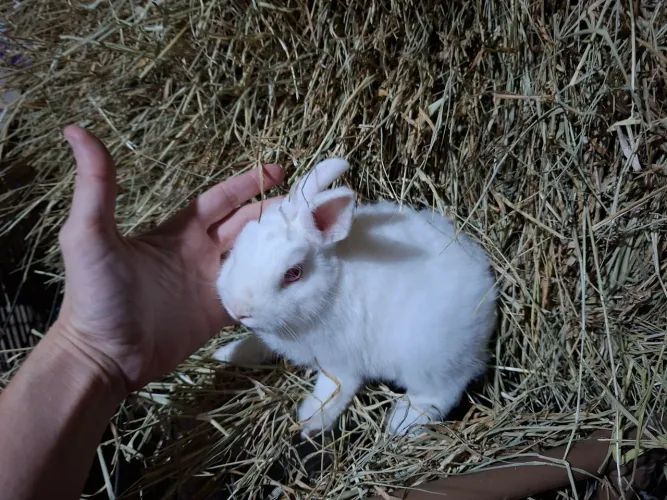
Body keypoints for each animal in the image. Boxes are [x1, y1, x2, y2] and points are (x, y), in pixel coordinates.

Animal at [213, 158, 497, 437]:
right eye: (240, 245)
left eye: (293, 273)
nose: (238, 309)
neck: (331, 287)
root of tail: (487, 294)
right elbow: (256, 344)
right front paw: (226, 353)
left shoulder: (339, 361)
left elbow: (335, 389)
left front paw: (310, 420)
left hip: (428, 359)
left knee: (443, 392)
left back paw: (402, 422)